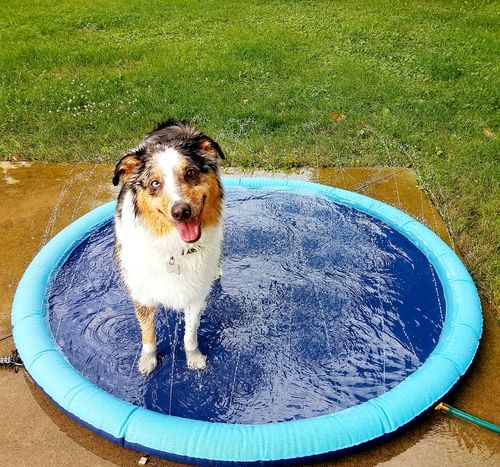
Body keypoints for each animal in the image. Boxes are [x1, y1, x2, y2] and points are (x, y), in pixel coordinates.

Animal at [113, 120, 225, 376]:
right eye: (155, 183)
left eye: (190, 172)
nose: (181, 211)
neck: (175, 247)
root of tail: (176, 126)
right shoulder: (142, 292)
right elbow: (148, 333)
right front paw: (148, 361)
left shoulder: (195, 293)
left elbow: (190, 335)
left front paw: (194, 358)